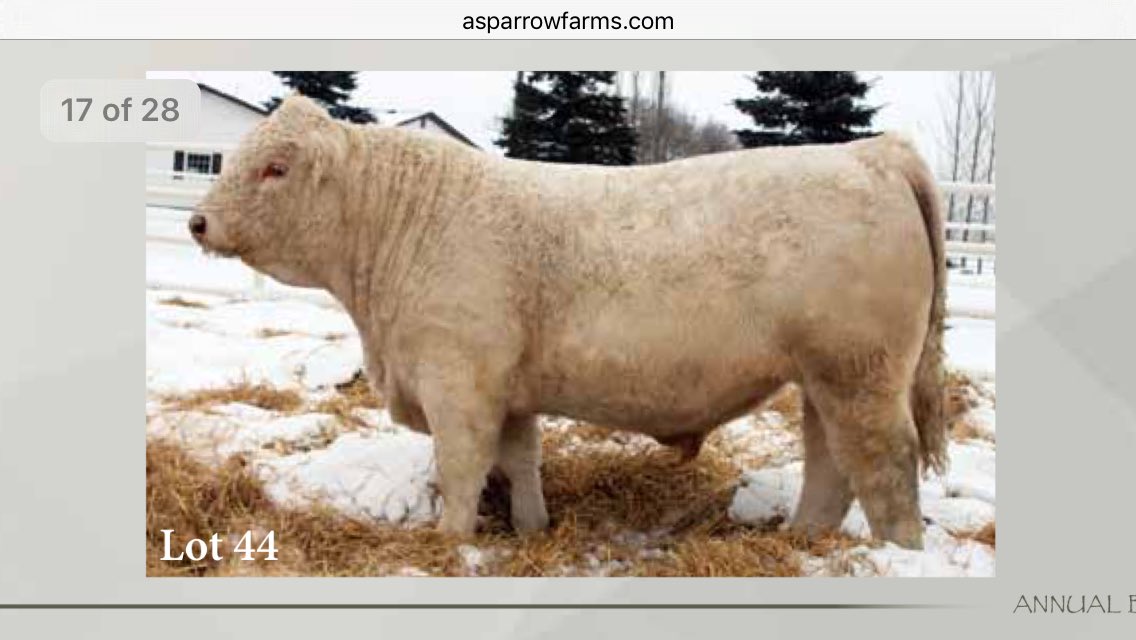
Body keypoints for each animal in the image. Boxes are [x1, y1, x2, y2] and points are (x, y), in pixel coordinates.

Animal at [190, 95, 947, 549]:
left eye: (275, 168)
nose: (198, 222)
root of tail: (870, 152)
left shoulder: (458, 382)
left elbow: (461, 469)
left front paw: (450, 544)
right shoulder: (510, 392)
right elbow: (520, 463)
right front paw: (530, 530)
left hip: (858, 373)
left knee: (884, 466)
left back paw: (894, 554)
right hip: (826, 378)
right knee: (833, 466)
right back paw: (801, 542)